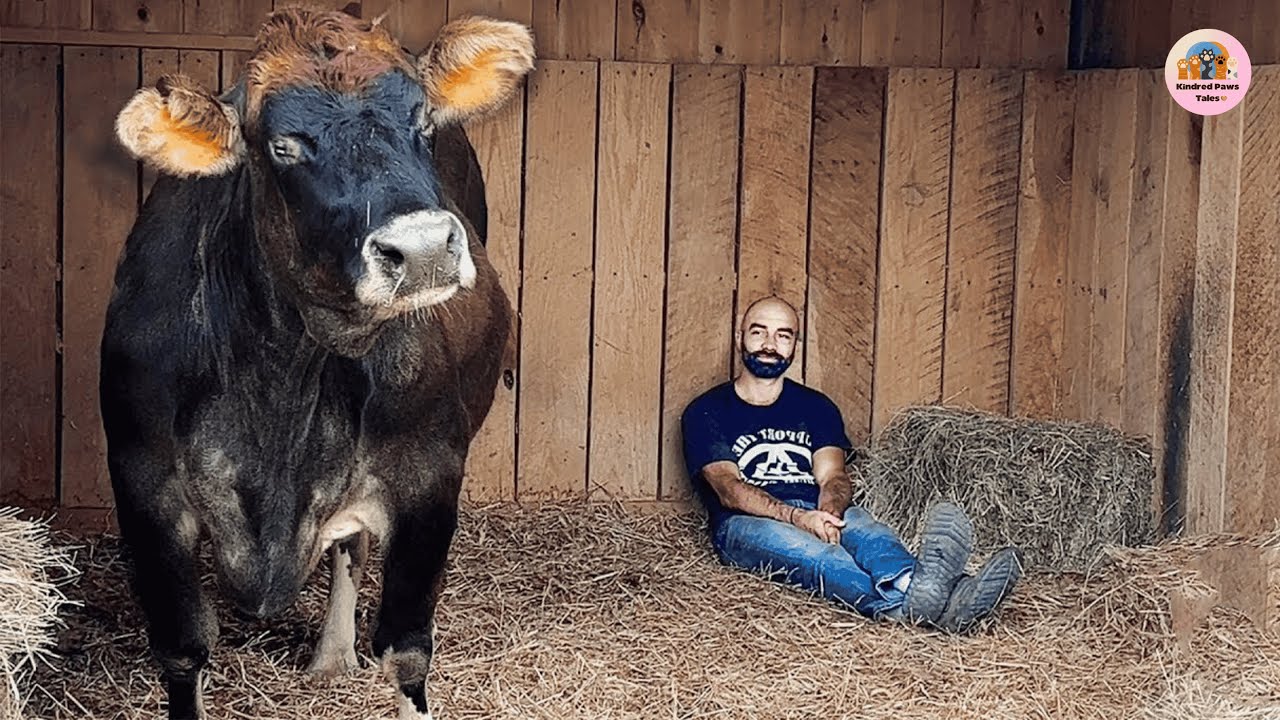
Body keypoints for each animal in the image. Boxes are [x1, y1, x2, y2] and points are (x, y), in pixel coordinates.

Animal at [102, 8, 533, 719]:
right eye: (282, 146)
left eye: (421, 117)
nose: (422, 248)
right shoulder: (143, 484)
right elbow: (182, 650)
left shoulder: (429, 473)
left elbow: (406, 653)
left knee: (350, 549)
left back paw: (332, 656)